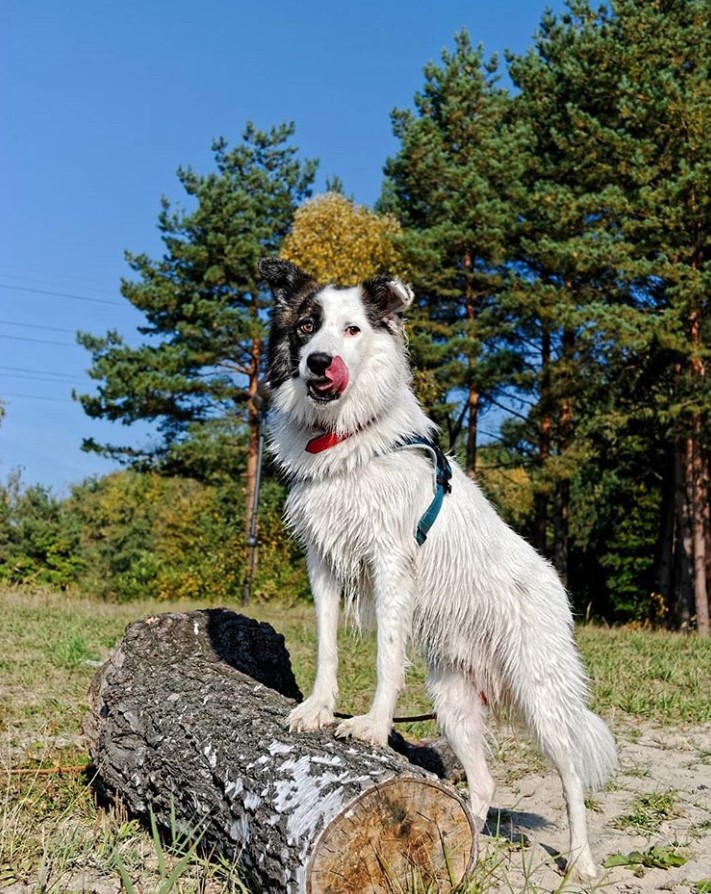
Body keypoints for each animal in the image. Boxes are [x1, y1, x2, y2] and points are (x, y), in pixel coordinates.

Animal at [260, 258, 616, 880]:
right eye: (306, 326)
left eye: (352, 330)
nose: (318, 362)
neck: (345, 438)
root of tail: (552, 582)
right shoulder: (322, 563)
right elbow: (327, 646)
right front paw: (317, 709)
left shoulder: (390, 562)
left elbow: (386, 658)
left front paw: (372, 727)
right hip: (453, 703)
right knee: (483, 781)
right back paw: (461, 857)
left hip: (542, 693)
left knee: (572, 776)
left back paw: (582, 862)